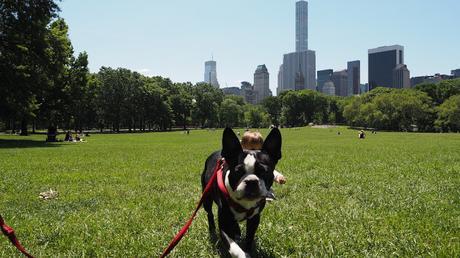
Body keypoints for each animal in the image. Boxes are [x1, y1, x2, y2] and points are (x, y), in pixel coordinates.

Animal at [200, 127, 280, 258]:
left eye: (264, 171)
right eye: (238, 172)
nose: (252, 181)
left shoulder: (254, 219)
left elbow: (249, 238)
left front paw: (247, 248)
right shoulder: (224, 223)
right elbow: (234, 248)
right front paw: (243, 253)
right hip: (206, 197)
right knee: (209, 213)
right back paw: (212, 230)